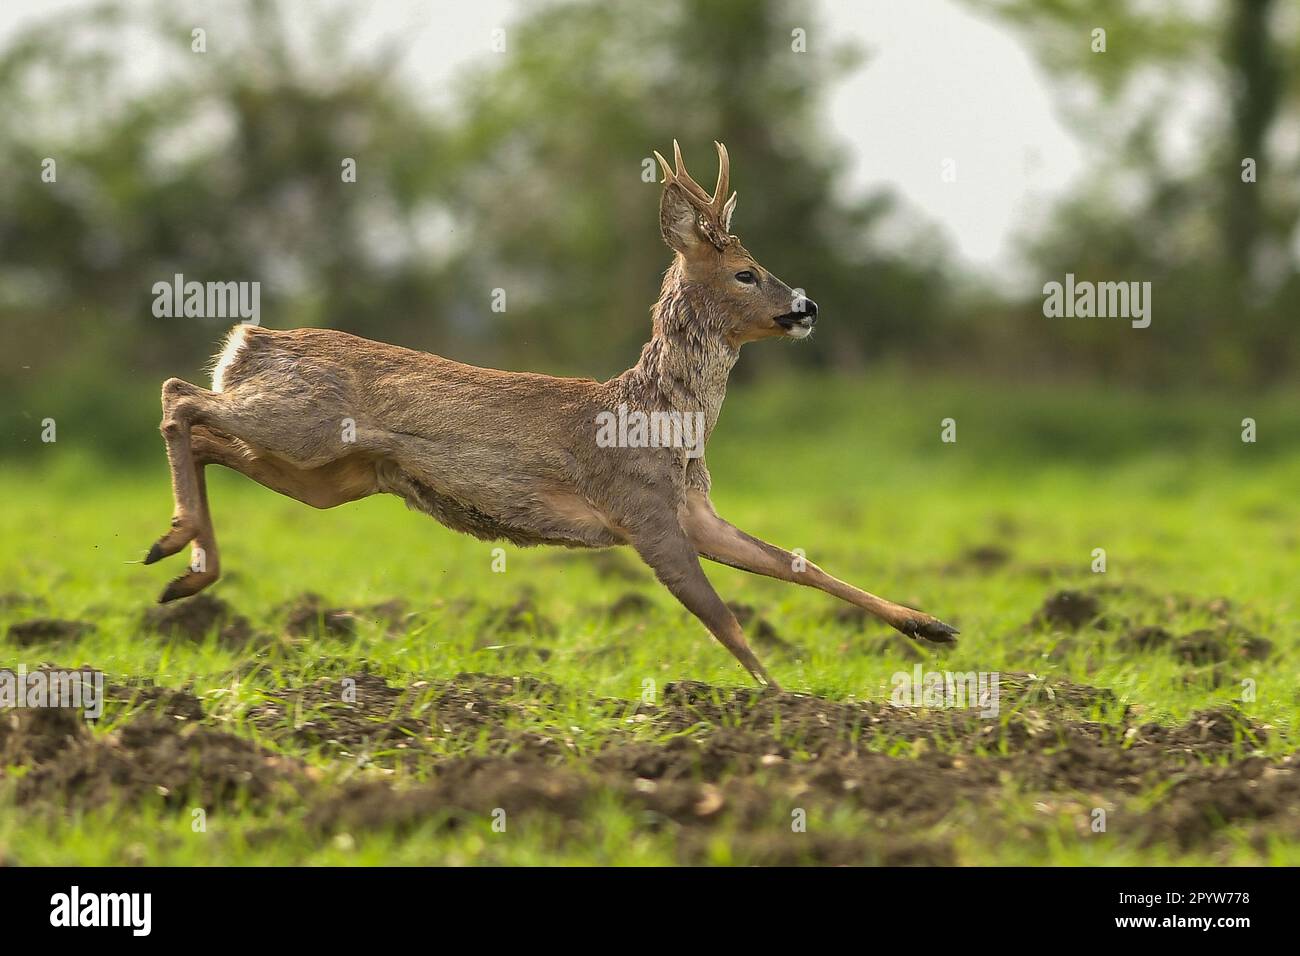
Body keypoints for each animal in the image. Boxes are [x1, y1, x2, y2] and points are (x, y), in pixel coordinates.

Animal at [144, 140, 956, 686]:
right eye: (746, 271)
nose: (807, 307)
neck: (661, 416)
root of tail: (247, 341)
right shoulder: (643, 512)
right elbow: (719, 614)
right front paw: (783, 701)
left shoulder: (693, 510)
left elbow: (796, 563)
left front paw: (932, 626)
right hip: (303, 423)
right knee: (181, 395)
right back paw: (176, 547)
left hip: (333, 475)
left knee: (206, 428)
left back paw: (182, 573)